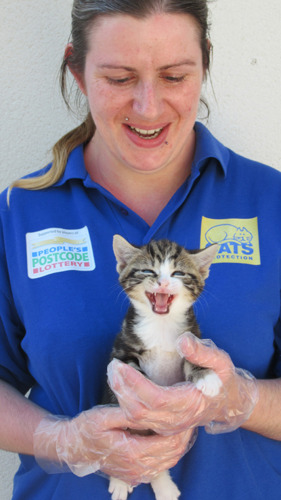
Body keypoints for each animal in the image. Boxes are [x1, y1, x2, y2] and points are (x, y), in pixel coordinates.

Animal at [104, 236, 220, 500]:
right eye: (148, 271)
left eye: (178, 273)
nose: (163, 281)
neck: (161, 325)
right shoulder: (122, 348)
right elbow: (130, 372)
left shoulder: (190, 334)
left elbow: (193, 355)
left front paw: (206, 375)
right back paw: (120, 479)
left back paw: (164, 487)